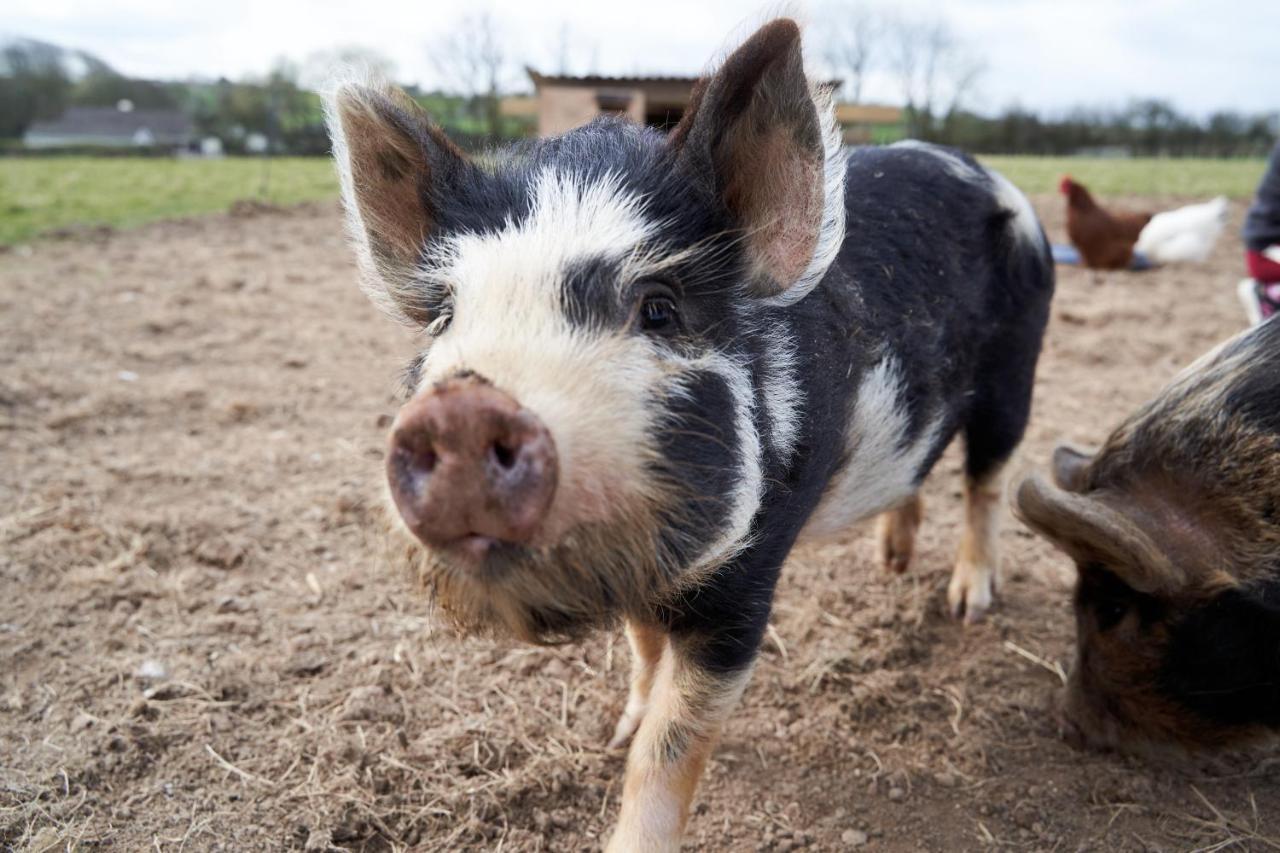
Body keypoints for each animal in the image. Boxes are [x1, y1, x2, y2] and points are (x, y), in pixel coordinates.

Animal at [325, 19, 1054, 850]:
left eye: (660, 308)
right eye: (447, 314)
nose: (465, 409)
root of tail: (991, 175)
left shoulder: (743, 588)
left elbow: (671, 743)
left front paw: (635, 771)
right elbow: (642, 652)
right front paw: (617, 730)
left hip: (1017, 369)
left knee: (987, 479)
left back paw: (969, 602)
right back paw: (890, 564)